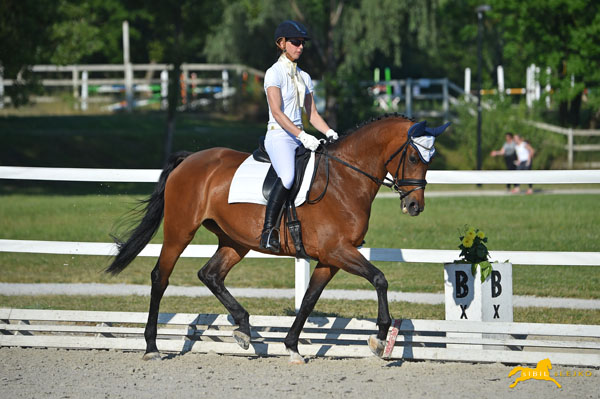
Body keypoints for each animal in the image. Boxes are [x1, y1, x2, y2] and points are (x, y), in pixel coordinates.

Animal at [106, 114, 446, 364]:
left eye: (428, 159)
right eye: (414, 157)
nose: (414, 206)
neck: (345, 179)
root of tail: (190, 159)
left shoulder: (330, 258)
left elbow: (309, 300)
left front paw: (292, 347)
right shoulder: (338, 251)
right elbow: (379, 279)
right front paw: (379, 337)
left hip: (235, 242)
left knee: (210, 274)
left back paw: (243, 327)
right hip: (180, 231)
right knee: (160, 277)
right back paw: (151, 347)